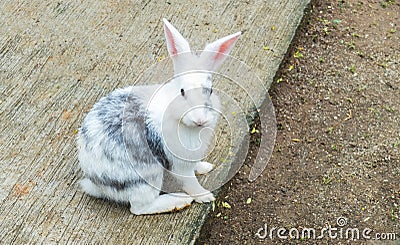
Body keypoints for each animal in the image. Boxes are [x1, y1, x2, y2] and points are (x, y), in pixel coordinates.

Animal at [77, 18, 241, 215]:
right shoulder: (180, 164)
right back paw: (179, 201)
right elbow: (190, 182)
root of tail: (95, 181)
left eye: (210, 90)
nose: (200, 120)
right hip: (147, 178)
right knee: (139, 208)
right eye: (182, 91)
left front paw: (204, 167)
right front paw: (205, 196)